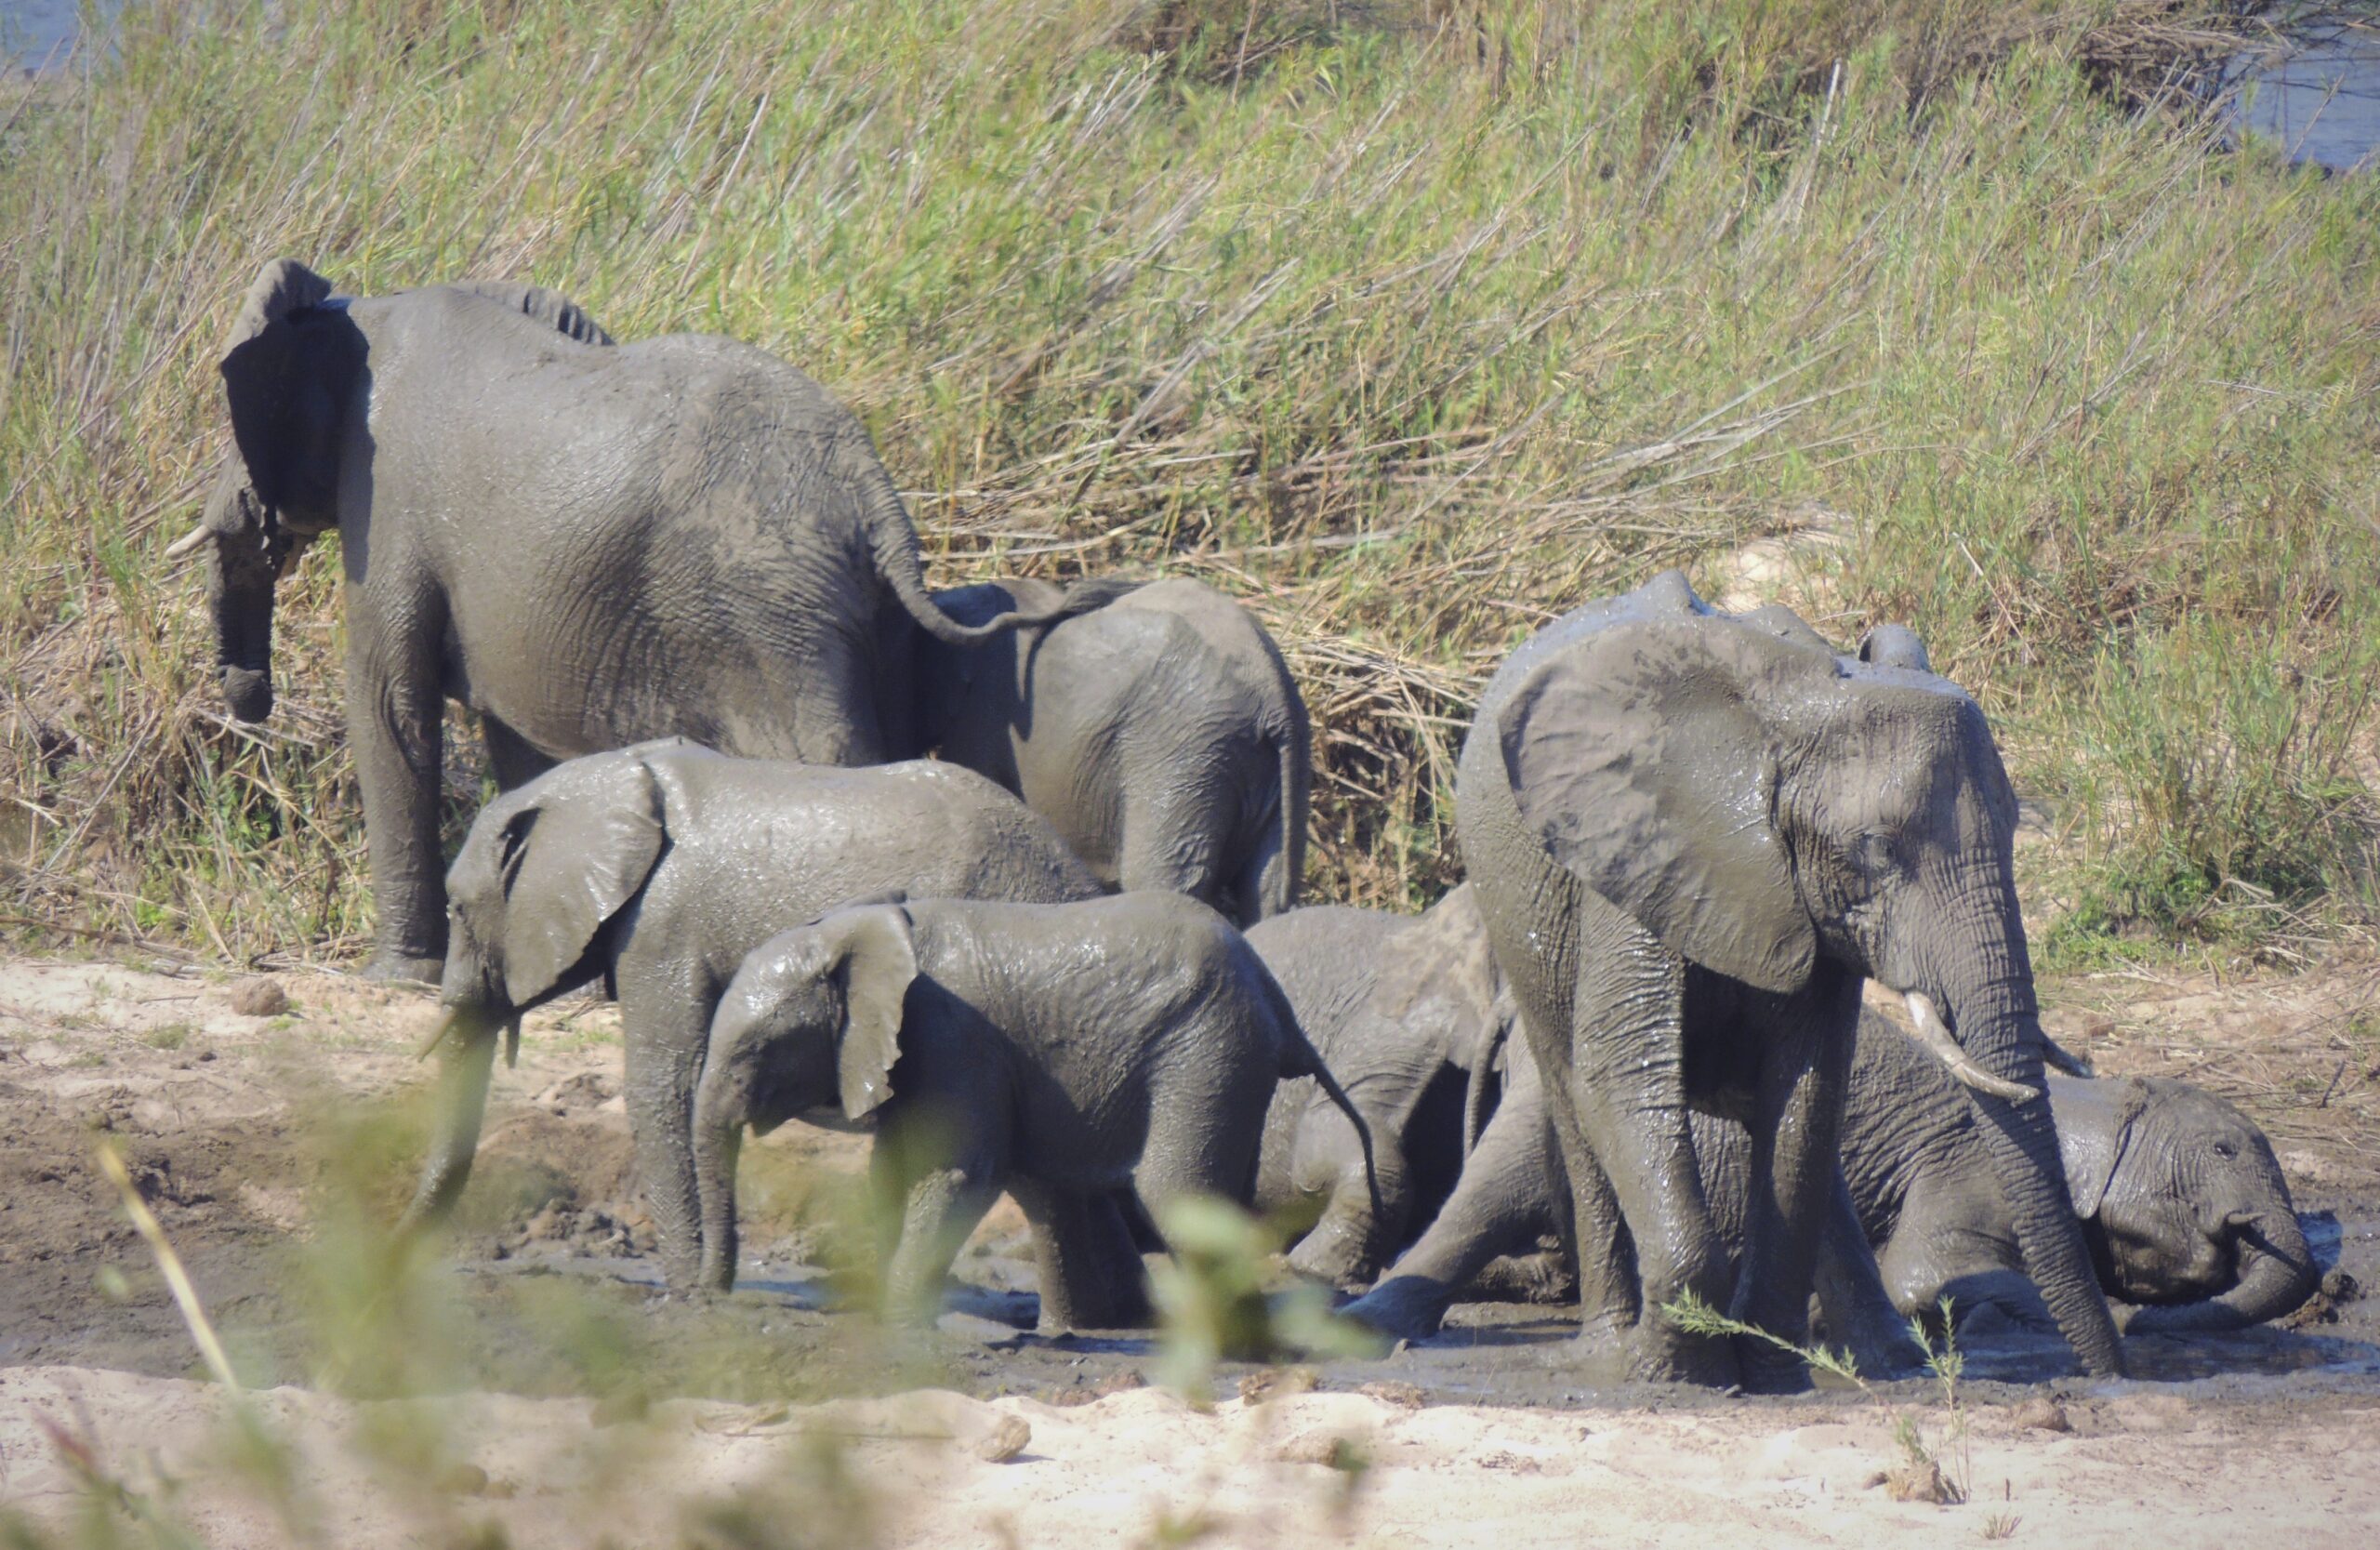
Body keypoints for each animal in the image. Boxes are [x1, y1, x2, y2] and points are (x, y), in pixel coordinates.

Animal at [170, 254, 1090, 980]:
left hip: (775, 614)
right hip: (864, 614)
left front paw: (394, 979)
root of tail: (873, 490)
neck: (363, 306)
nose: (249, 697)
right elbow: (520, 743)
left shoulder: (389, 498)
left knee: (830, 756)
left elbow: (390, 705)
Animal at [694, 894, 1370, 1332]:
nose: (712, 1298)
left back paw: (1249, 1353)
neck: (854, 929)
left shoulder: (953, 1036)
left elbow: (960, 1174)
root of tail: (1274, 994)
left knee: (1175, 1191)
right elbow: (890, 1170)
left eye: (755, 1050)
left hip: (1210, 1046)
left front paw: (898, 1319)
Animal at [914, 578, 1323, 923]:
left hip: (1188, 752)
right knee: (1266, 892)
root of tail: (1273, 690)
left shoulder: (984, 716)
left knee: (1163, 879)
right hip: (1280, 763)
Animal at [1418, 576, 2132, 1390]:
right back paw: (1605, 1349)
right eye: (1876, 849)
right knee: (1571, 1097)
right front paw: (1675, 1370)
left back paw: (1882, 1360)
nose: (2110, 1373)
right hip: (1520, 917)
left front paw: (1766, 1368)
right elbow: (1621, 1073)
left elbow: (1807, 1088)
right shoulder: (1629, 850)